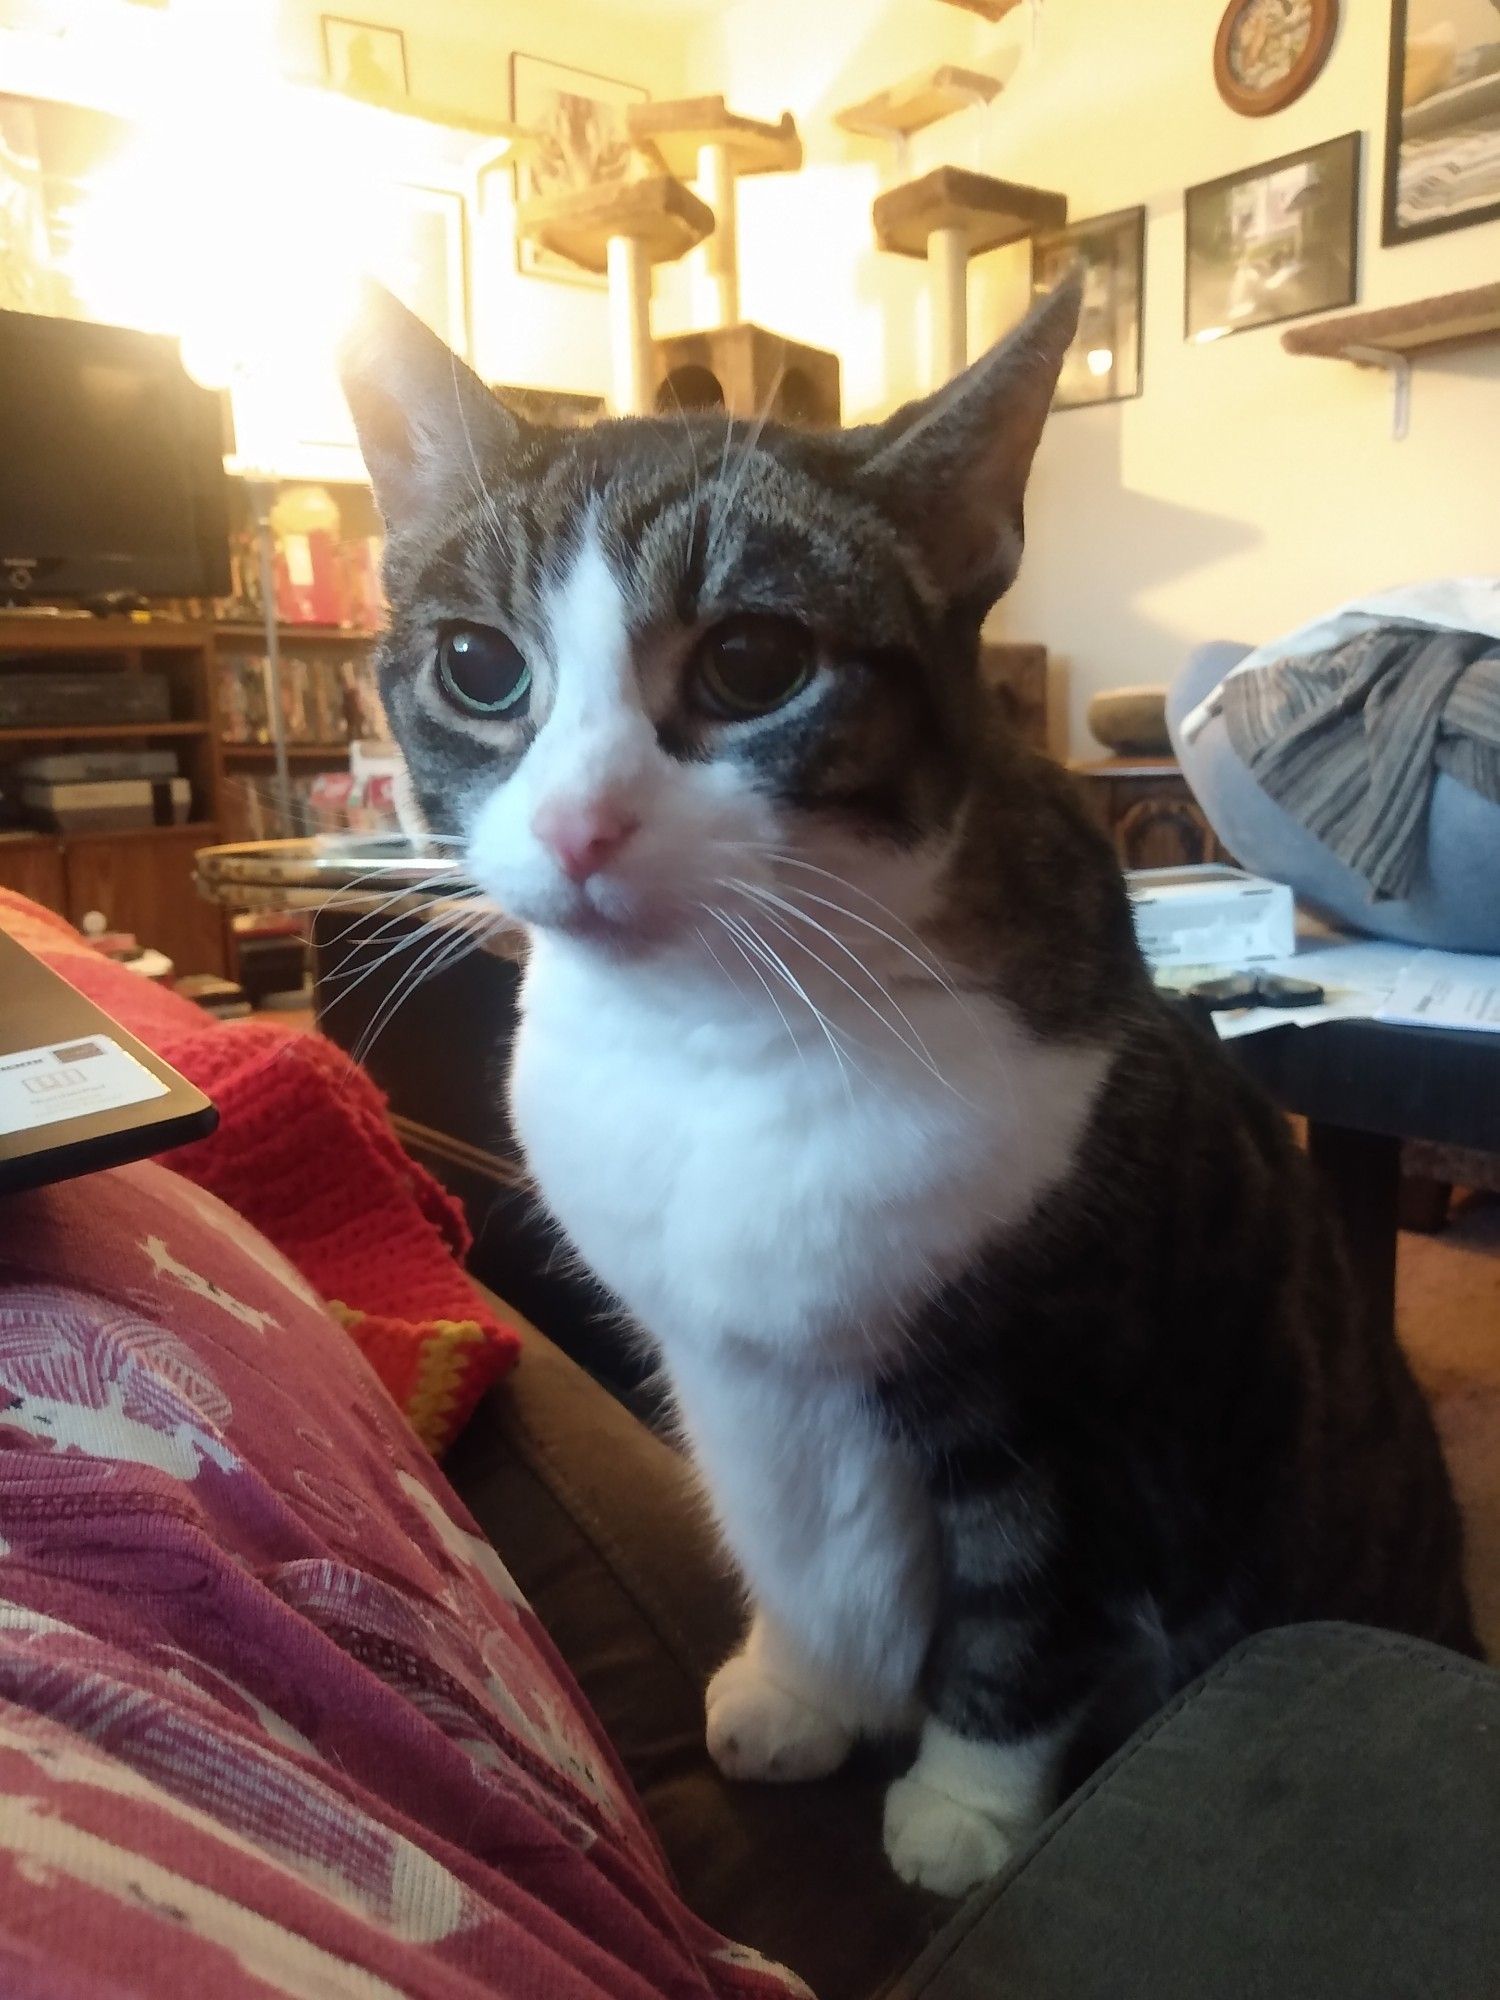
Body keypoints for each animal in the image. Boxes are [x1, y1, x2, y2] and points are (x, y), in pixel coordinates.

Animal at [340, 278, 1480, 1888]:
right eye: (479, 667)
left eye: (752, 662)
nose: (577, 826)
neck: (719, 1037)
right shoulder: (725, 1370)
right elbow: (794, 1540)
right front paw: (806, 1689)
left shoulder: (1059, 1393)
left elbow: (1025, 1604)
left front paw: (965, 1804)